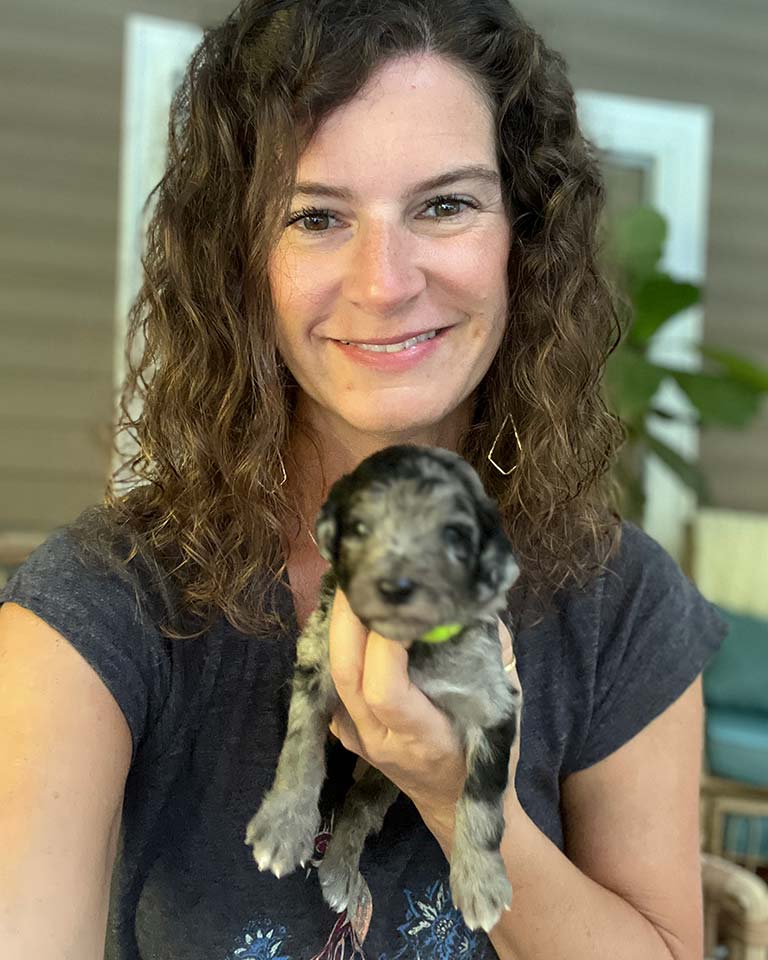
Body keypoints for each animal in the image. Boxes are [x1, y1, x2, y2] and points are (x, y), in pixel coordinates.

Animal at [246, 442, 520, 928]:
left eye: (454, 534)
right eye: (358, 527)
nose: (396, 585)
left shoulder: (491, 702)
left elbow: (483, 797)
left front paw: (481, 880)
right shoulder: (317, 662)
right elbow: (300, 752)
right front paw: (283, 826)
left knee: (360, 805)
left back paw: (339, 870)